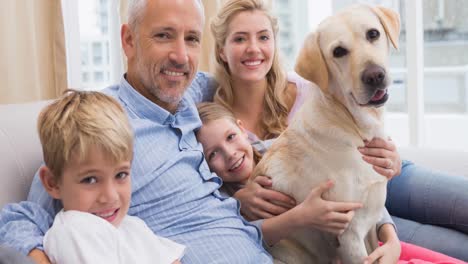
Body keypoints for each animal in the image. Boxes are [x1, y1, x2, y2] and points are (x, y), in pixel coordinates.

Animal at [254, 4, 400, 264]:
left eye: (373, 34)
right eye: (339, 52)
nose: (374, 75)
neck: (353, 126)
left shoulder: (370, 224)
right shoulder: (350, 233)